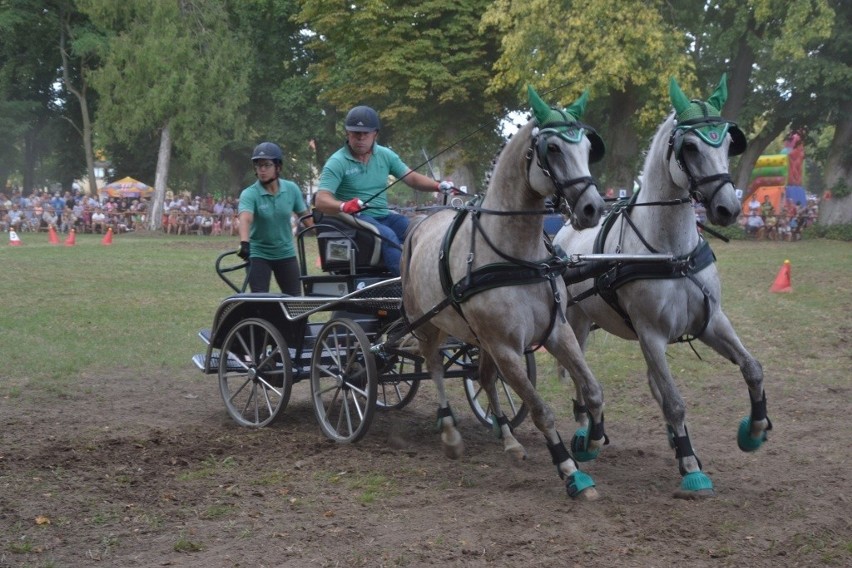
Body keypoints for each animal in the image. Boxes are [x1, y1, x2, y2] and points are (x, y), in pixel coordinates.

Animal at [402, 86, 608, 500]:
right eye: (553, 148)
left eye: (586, 146)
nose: (593, 207)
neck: (517, 258)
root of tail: (419, 222)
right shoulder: (507, 348)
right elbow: (541, 410)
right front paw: (570, 471)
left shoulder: (557, 332)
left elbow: (592, 390)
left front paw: (592, 441)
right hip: (428, 326)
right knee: (434, 367)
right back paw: (450, 433)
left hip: (476, 338)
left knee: (483, 379)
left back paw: (508, 438)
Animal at [552, 74, 772, 496]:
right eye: (690, 146)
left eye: (726, 143)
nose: (728, 208)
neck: (671, 253)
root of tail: (563, 235)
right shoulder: (651, 334)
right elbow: (673, 401)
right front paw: (690, 466)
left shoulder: (711, 321)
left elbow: (752, 368)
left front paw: (752, 432)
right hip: (575, 322)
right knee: (576, 375)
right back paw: (586, 434)